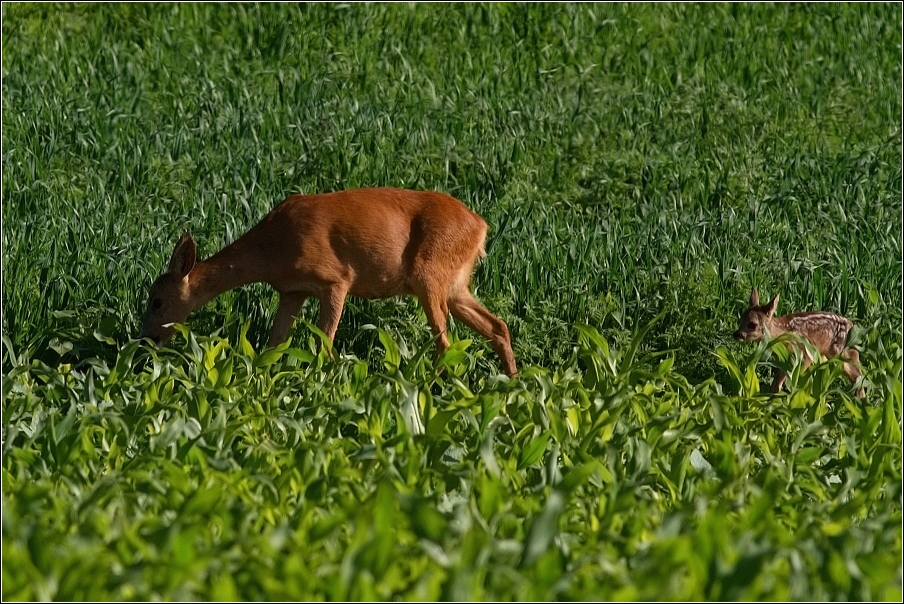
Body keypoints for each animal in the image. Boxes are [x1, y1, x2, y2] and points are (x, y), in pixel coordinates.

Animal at [134, 189, 516, 378]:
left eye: (157, 300)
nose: (145, 340)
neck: (273, 248)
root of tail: (481, 225)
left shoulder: (335, 280)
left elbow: (323, 344)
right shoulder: (292, 290)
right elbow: (273, 345)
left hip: (429, 274)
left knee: (446, 340)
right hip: (455, 284)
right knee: (497, 325)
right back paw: (511, 383)